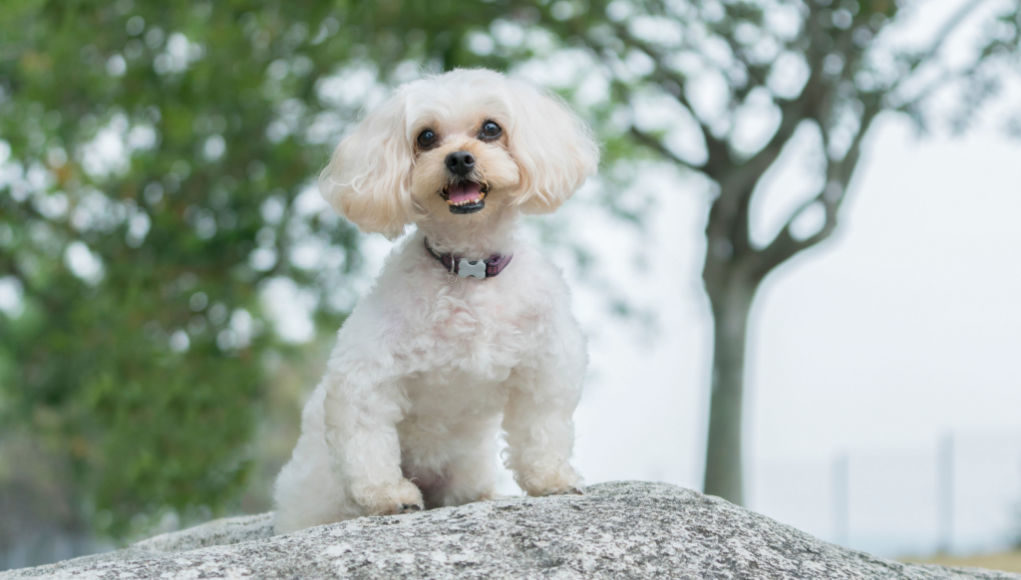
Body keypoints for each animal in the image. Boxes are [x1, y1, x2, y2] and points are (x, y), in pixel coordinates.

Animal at [275, 65, 596, 530]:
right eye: (426, 137)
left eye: (491, 129)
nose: (459, 158)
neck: (468, 270)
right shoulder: (367, 371)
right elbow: (367, 440)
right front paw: (387, 495)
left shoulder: (548, 361)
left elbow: (542, 426)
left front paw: (551, 478)